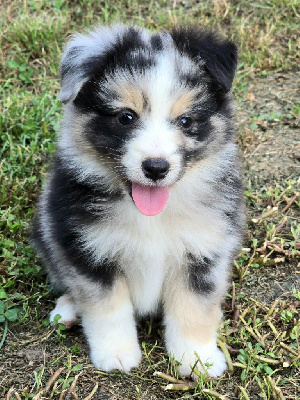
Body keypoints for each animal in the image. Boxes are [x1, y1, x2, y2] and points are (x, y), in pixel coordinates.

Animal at [32, 25, 244, 378]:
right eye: (126, 117)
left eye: (186, 121)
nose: (156, 167)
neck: (151, 216)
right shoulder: (89, 249)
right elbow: (107, 307)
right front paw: (116, 354)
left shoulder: (204, 252)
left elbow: (194, 307)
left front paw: (196, 358)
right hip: (47, 231)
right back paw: (68, 309)